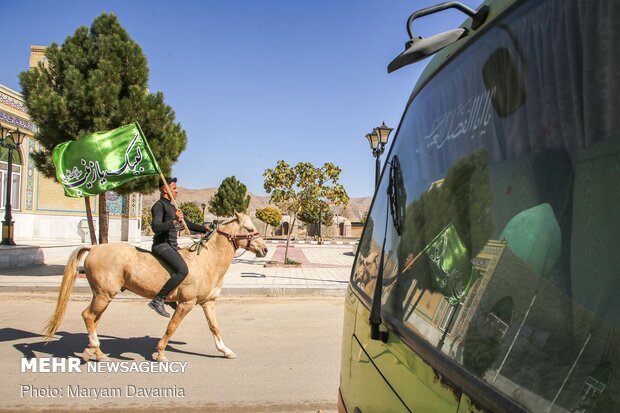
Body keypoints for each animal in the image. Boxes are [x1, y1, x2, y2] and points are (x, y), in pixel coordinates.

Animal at [43, 212, 266, 360]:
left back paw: (96, 352)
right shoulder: (186, 303)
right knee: (88, 316)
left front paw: (226, 351)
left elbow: (215, 327)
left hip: (103, 296)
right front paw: (159, 353)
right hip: (103, 295)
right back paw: (94, 347)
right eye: (249, 229)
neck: (207, 260)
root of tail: (94, 247)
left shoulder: (208, 302)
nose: (264, 249)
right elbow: (172, 327)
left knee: (93, 319)